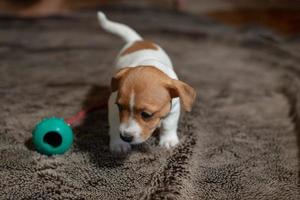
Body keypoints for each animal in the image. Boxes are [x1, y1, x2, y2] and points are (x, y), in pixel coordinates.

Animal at [96, 12, 197, 153]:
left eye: (146, 115)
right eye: (120, 107)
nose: (126, 137)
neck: (150, 62)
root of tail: (138, 40)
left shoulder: (174, 108)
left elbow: (169, 125)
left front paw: (168, 140)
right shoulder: (112, 105)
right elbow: (115, 124)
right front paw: (118, 143)